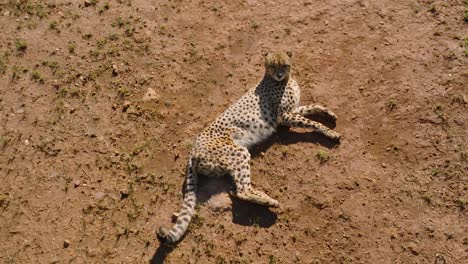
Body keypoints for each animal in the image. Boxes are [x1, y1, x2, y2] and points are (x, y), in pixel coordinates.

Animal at [157, 51, 340, 243]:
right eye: (272, 66)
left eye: (284, 65)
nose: (279, 75)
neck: (282, 80)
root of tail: (192, 150)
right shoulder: (284, 117)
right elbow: (312, 123)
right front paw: (330, 132)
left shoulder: (293, 110)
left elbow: (313, 106)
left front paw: (328, 113)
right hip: (239, 152)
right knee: (242, 190)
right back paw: (269, 201)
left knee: (235, 190)